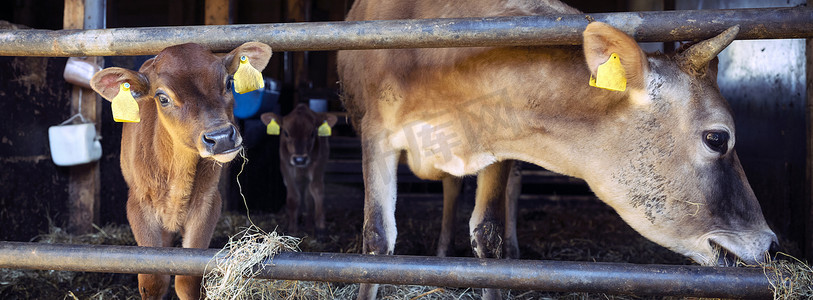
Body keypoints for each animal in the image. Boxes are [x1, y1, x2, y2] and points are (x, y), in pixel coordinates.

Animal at [90, 42, 272, 300]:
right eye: (163, 98)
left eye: (228, 82)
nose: (221, 137)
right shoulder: (138, 205)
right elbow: (153, 280)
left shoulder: (207, 203)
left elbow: (188, 278)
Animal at [262, 104, 334, 236]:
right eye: (286, 133)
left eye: (312, 133)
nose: (299, 159)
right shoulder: (286, 167)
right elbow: (293, 198)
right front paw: (292, 230)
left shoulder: (317, 165)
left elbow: (316, 191)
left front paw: (320, 228)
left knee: (309, 198)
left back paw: (309, 227)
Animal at [336, 1, 772, 298]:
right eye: (717, 139)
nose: (770, 243)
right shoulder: (374, 135)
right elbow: (377, 239)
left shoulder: (499, 146)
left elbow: (488, 236)